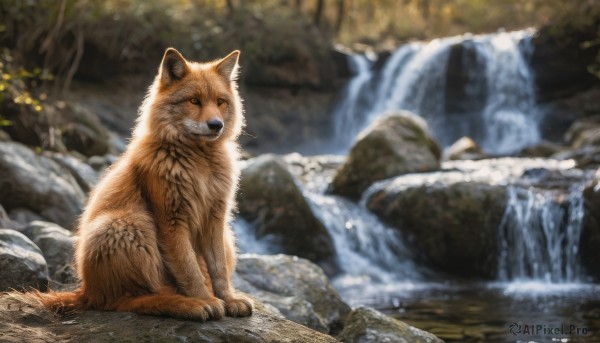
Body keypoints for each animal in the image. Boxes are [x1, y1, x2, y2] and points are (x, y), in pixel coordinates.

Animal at [28, 47, 252, 322]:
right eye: (194, 101)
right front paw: (206, 300)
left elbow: (218, 270)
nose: (216, 125)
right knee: (132, 301)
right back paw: (186, 304)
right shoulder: (172, 220)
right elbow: (190, 270)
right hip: (128, 223)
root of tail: (86, 291)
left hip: (224, 237)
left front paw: (228, 299)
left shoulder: (215, 219)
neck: (199, 164)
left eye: (220, 102)